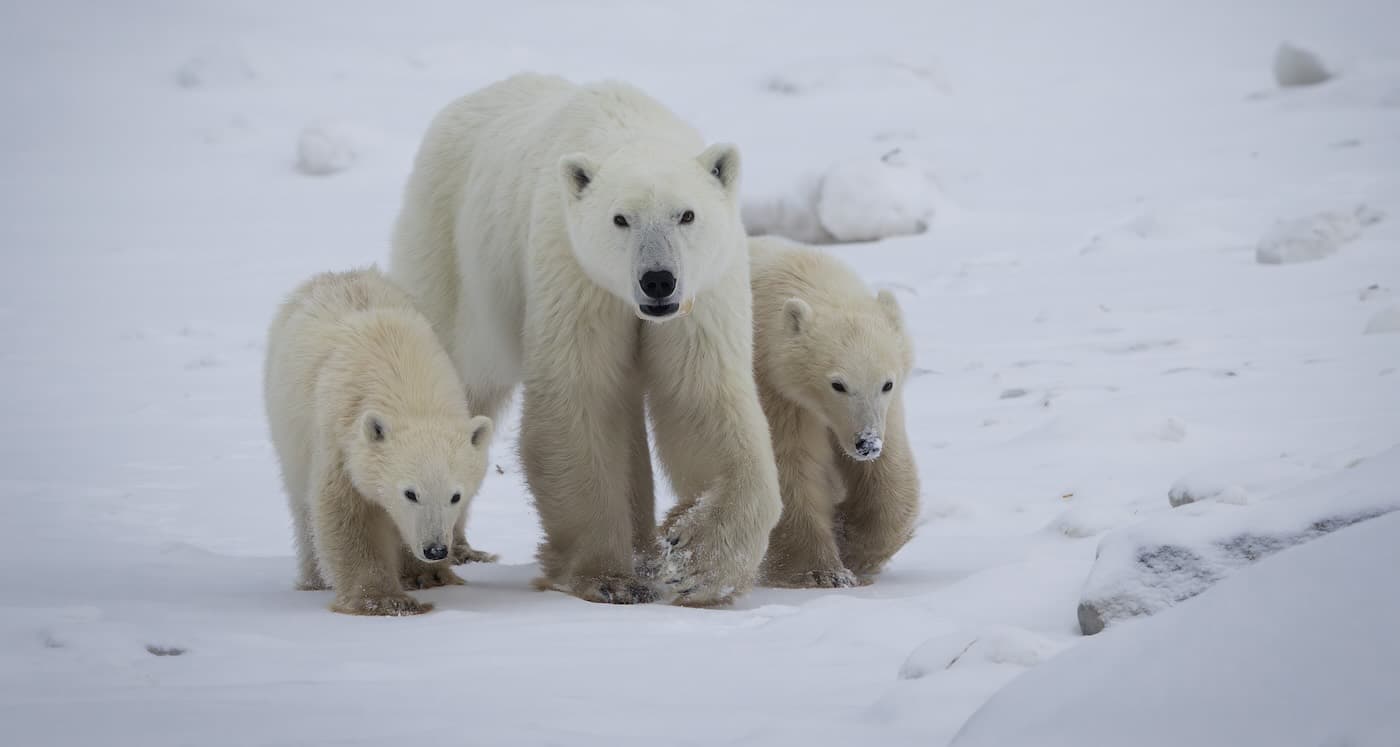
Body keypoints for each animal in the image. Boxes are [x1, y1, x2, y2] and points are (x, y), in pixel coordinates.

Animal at [263, 267, 495, 616]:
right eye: (410, 493)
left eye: (456, 496)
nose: (436, 549)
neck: (408, 385)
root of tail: (339, 275)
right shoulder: (342, 439)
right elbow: (349, 514)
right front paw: (384, 600)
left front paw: (429, 576)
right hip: (288, 429)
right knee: (302, 506)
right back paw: (314, 580)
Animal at [388, 73, 782, 606]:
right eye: (620, 219)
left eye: (687, 215)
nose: (658, 280)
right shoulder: (576, 275)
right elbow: (580, 401)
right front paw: (608, 579)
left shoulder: (702, 294)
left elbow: (701, 399)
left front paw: (697, 562)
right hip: (452, 256)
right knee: (458, 380)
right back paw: (439, 556)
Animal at [747, 236, 921, 588]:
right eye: (837, 384)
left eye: (887, 383)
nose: (866, 444)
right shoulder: (778, 391)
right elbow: (792, 468)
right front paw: (824, 572)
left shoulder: (887, 411)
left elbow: (889, 473)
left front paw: (855, 544)